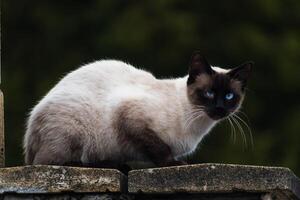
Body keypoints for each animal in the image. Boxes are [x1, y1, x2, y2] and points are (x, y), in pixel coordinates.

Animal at [24, 52, 253, 171]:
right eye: (209, 93)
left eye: (229, 96)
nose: (219, 108)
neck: (197, 125)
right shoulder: (130, 116)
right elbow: (159, 149)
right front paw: (172, 163)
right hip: (75, 131)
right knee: (46, 162)